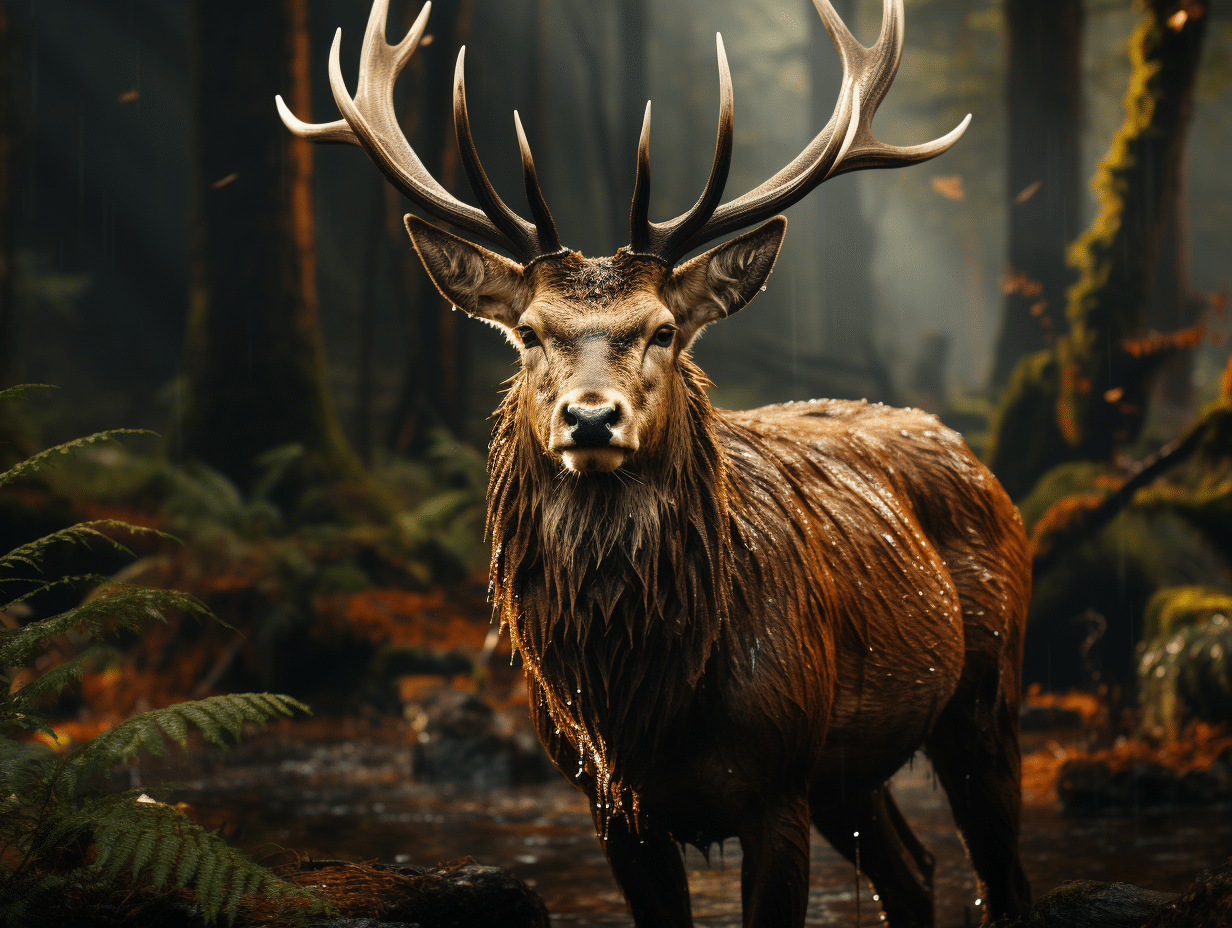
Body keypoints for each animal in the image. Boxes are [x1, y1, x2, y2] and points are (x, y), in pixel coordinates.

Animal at [278, 1, 1032, 925]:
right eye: (528, 331)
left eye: (664, 330)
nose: (591, 417)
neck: (640, 707)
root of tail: (975, 458)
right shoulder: (608, 800)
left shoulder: (776, 781)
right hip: (850, 765)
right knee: (913, 869)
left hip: (985, 694)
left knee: (1002, 876)